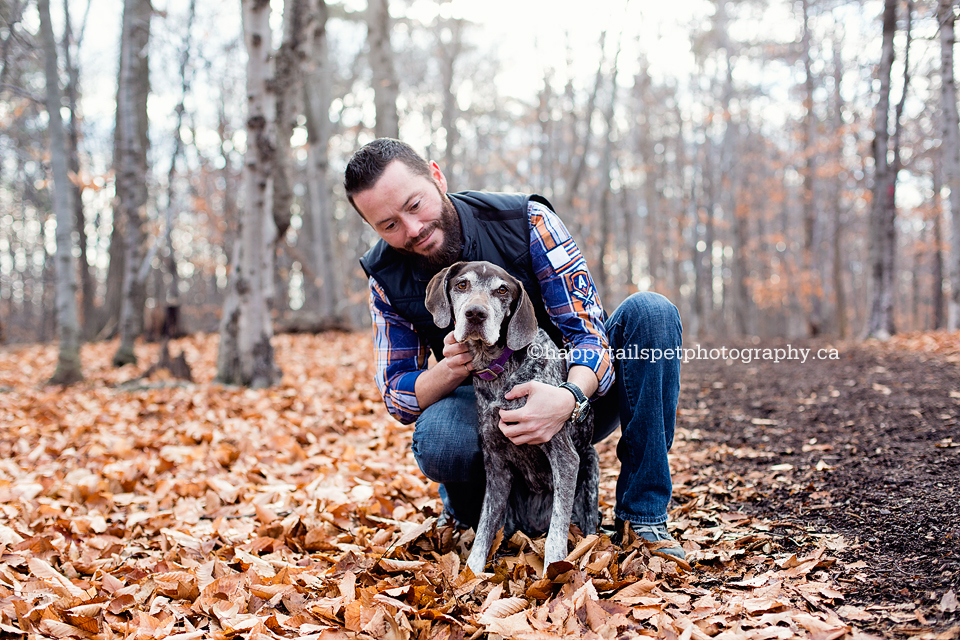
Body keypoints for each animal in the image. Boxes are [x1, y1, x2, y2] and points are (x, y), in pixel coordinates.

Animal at [428, 260, 600, 576]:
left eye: (502, 290)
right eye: (461, 284)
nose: (475, 313)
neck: (499, 368)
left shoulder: (565, 458)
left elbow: (556, 534)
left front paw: (553, 574)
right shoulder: (496, 466)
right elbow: (483, 530)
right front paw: (471, 574)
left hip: (590, 468)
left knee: (587, 528)